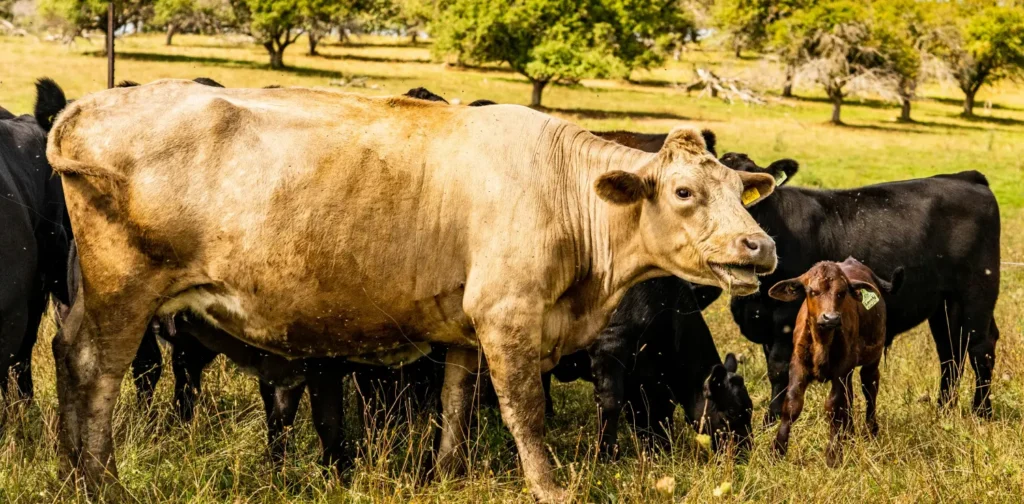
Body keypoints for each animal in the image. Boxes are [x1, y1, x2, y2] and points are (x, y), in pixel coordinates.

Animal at [44, 80, 770, 501]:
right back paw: (103, 480)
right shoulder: (508, 317)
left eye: (742, 192)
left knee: (66, 353)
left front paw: (445, 472)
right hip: (125, 290)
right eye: (684, 192)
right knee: (96, 370)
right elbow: (525, 413)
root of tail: (86, 108)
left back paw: (69, 465)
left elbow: (455, 402)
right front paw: (551, 487)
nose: (759, 246)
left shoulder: (466, 328)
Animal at [724, 154, 1003, 422]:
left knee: (980, 347)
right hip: (945, 303)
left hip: (977, 293)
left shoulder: (786, 318)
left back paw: (982, 412)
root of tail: (966, 177)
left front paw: (770, 419)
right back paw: (943, 410)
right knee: (950, 350)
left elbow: (779, 369)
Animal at [770, 258, 905, 467]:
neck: (822, 341)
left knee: (870, 389)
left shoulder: (841, 369)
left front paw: (833, 455)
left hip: (872, 359)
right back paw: (849, 434)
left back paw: (870, 432)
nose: (831, 318)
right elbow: (792, 404)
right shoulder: (798, 365)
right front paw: (778, 451)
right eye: (812, 291)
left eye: (841, 292)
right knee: (849, 397)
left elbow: (834, 406)